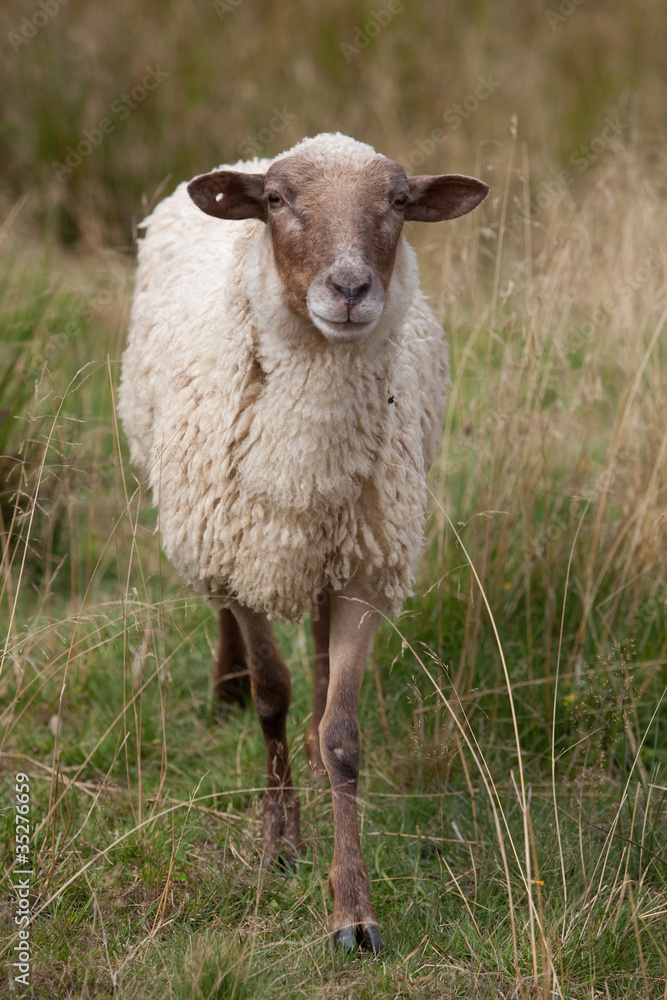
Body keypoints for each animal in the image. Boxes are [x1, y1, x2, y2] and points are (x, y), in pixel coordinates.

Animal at [118, 132, 488, 952]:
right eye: (278, 203)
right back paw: (226, 683)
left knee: (318, 651)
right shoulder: (239, 555)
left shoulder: (367, 571)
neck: (305, 459)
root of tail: (252, 151)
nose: (349, 288)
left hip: (333, 551)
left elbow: (344, 732)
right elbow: (272, 695)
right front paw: (280, 843)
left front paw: (353, 911)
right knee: (235, 634)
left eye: (398, 202)